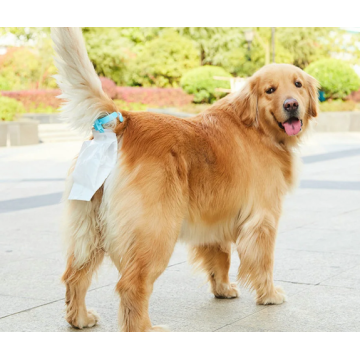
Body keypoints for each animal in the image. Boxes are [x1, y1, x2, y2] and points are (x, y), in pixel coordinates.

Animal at [51, 27, 318, 332]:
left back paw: (80, 319)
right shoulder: (263, 218)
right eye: (270, 90)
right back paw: (146, 329)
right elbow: (264, 262)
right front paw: (270, 295)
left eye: (298, 84)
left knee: (74, 275)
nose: (291, 104)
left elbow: (220, 257)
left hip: (89, 227)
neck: (258, 126)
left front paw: (222, 289)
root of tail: (125, 120)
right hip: (155, 230)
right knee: (131, 284)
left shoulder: (216, 216)